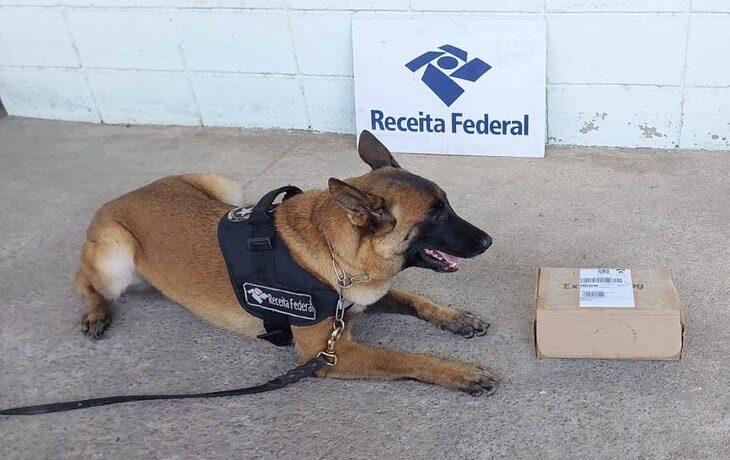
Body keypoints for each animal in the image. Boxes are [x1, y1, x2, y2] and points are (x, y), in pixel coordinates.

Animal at [75, 130, 494, 396]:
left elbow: (416, 300)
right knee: (83, 278)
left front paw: (458, 319)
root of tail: (124, 196)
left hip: (224, 186)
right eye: (435, 215)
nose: (488, 241)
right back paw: (96, 312)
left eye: (447, 204)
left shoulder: (359, 299)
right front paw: (458, 372)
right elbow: (405, 358)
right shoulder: (325, 355)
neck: (334, 250)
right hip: (115, 257)